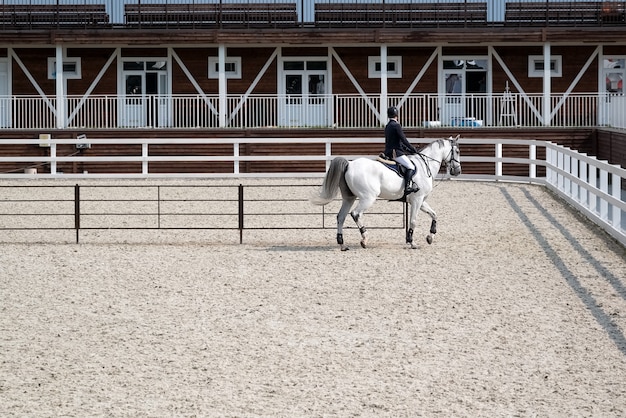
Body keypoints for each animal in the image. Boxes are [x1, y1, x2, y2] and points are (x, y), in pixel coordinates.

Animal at [308, 137, 458, 250]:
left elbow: (434, 214)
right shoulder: (417, 200)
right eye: (456, 151)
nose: (457, 171)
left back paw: (342, 244)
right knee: (356, 214)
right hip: (368, 198)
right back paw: (365, 239)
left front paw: (430, 237)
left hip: (349, 198)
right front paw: (412, 242)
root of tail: (349, 164)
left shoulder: (420, 200)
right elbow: (413, 221)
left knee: (341, 217)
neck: (423, 165)